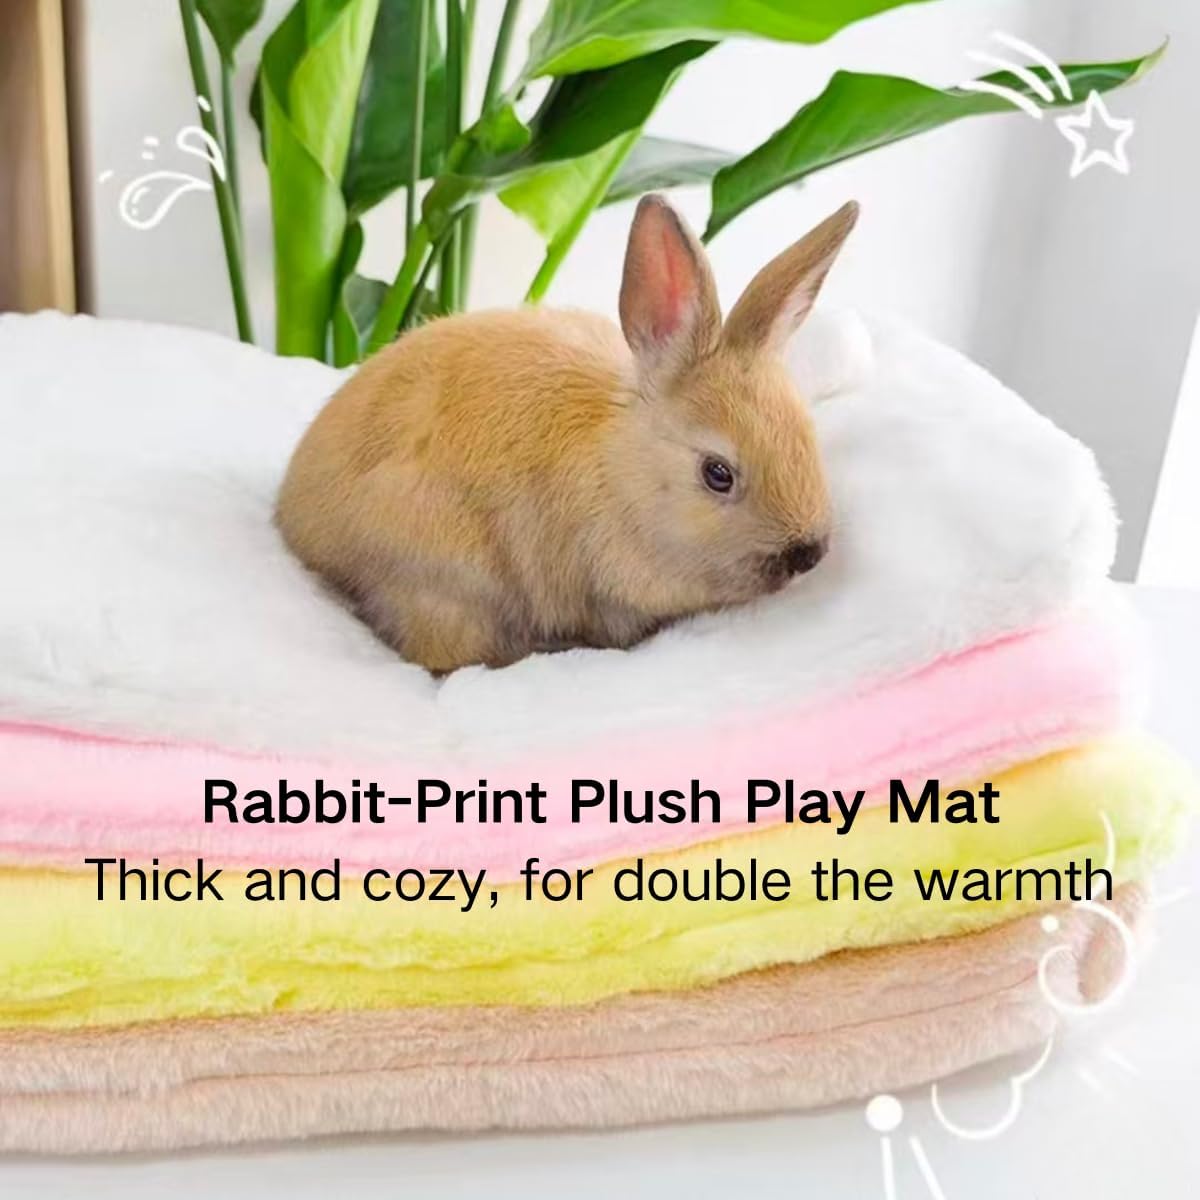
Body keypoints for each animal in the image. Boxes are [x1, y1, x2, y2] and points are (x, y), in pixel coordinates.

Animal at [276, 194, 859, 673]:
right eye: (717, 474)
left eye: (807, 436)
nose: (808, 552)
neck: (618, 471)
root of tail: (295, 522)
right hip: (441, 584)